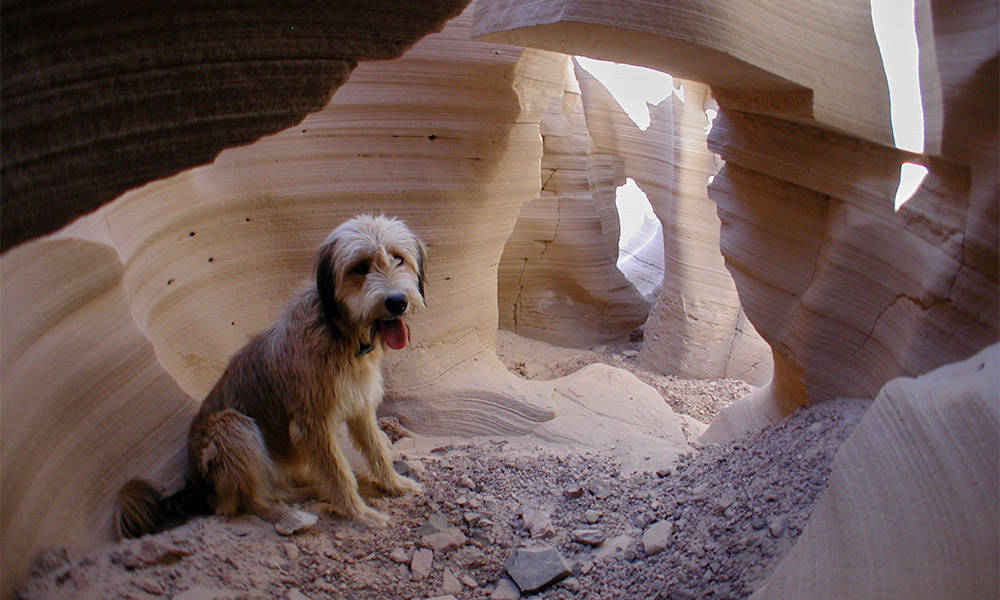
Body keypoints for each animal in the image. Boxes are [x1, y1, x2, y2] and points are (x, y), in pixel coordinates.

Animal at [117, 213, 426, 536]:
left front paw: (396, 484)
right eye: (361, 267)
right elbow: (338, 473)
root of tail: (197, 488)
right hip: (231, 427)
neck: (340, 332)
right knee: (251, 502)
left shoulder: (360, 408)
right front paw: (360, 515)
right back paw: (293, 516)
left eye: (397, 258)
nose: (397, 302)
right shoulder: (312, 424)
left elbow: (377, 451)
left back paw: (308, 490)